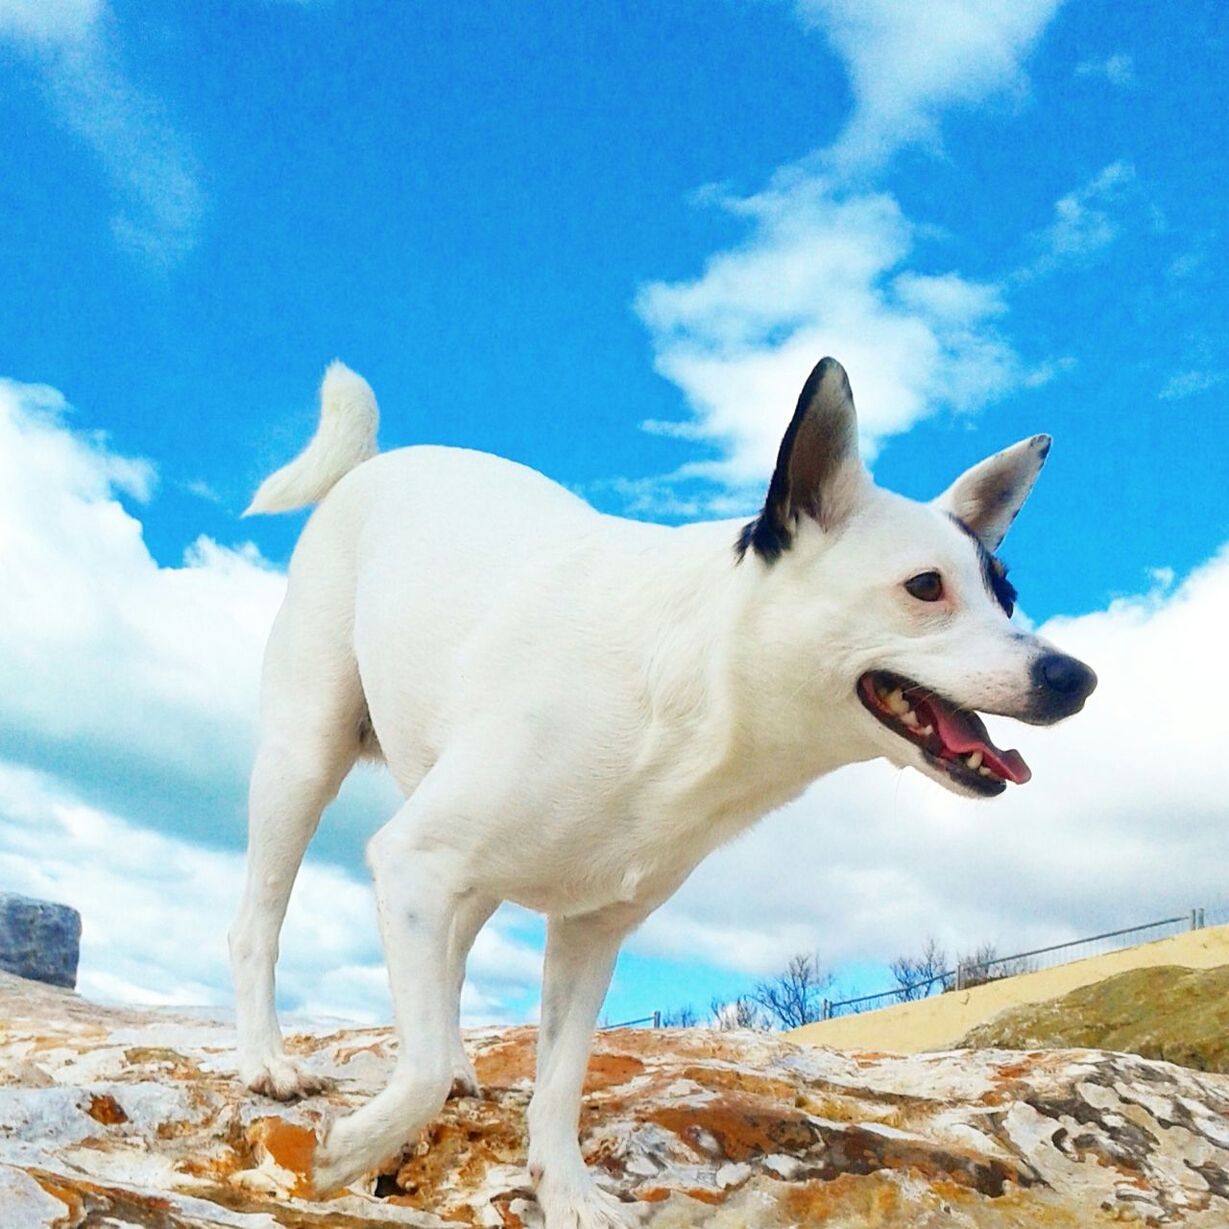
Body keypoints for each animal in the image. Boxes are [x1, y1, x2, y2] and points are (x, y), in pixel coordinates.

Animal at [231, 353, 1096, 1219]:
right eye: (924, 587)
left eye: (1006, 597)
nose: (1074, 677)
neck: (696, 696)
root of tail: (375, 462)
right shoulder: (414, 859)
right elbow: (417, 1072)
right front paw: (350, 1152)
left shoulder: (588, 931)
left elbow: (557, 1080)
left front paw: (568, 1193)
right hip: (305, 761)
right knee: (259, 925)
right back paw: (267, 1061)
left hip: (469, 874)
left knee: (446, 967)